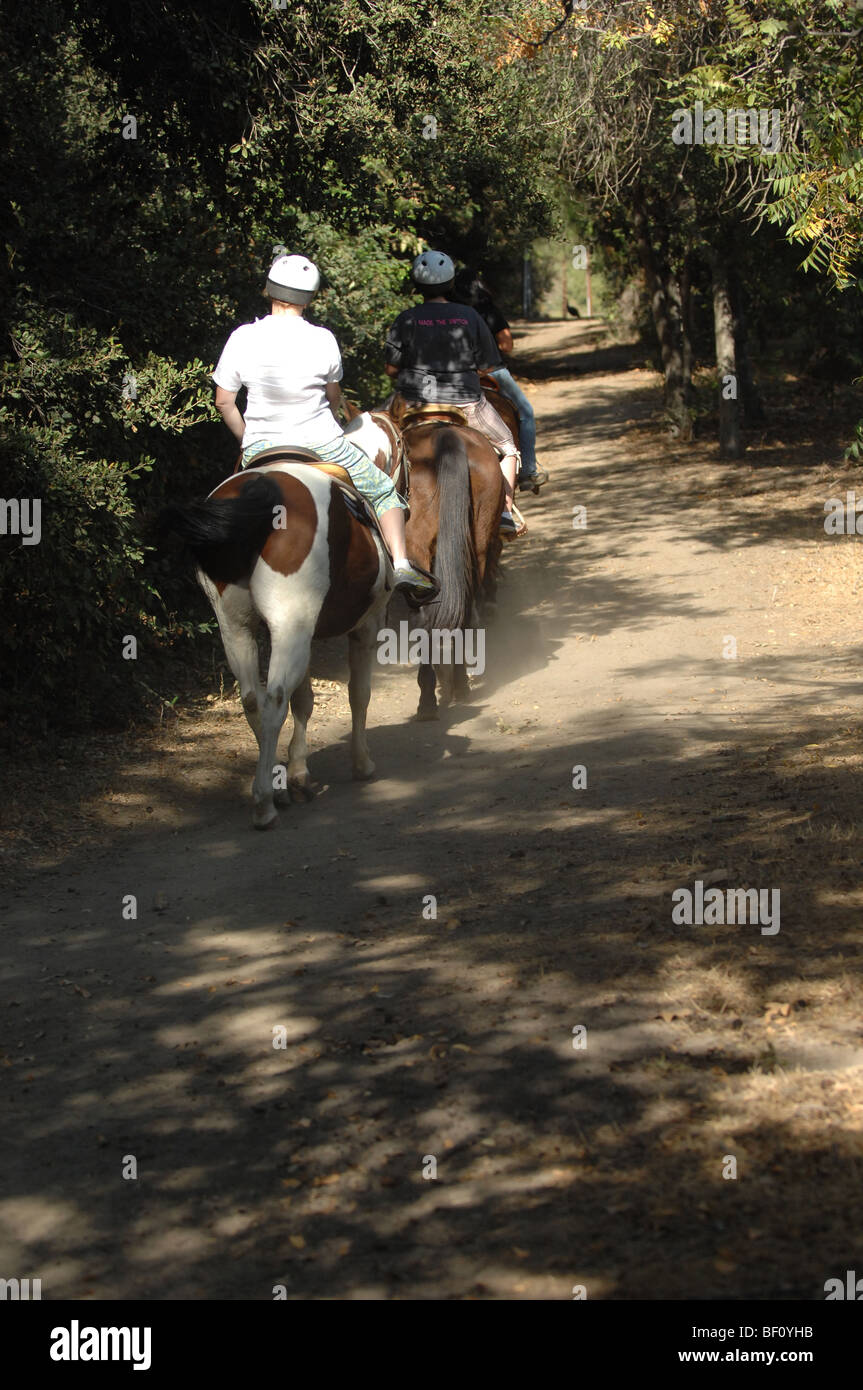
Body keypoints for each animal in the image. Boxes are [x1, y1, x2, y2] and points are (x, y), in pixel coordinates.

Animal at [160, 417, 397, 828]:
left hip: (240, 626)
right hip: (291, 623)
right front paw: (361, 763)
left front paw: (298, 773)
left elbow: (303, 699)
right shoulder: (366, 626)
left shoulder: (300, 631)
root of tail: (260, 490)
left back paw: (275, 785)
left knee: (254, 700)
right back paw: (264, 803)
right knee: (273, 701)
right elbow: (359, 693)